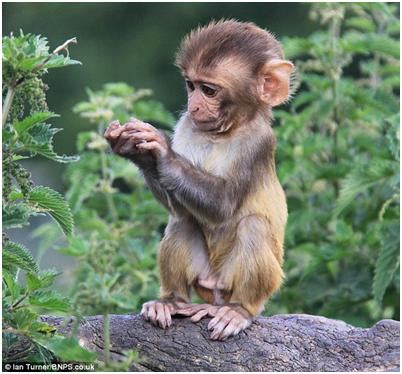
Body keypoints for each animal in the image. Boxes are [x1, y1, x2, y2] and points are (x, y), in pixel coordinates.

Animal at [103, 19, 292, 340]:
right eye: (191, 86)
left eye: (209, 90)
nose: (193, 106)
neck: (224, 132)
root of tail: (215, 293)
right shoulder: (187, 125)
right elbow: (178, 207)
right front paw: (136, 150)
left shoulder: (258, 143)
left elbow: (223, 204)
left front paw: (162, 151)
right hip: (204, 279)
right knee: (183, 221)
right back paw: (171, 301)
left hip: (241, 282)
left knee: (253, 226)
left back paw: (239, 310)